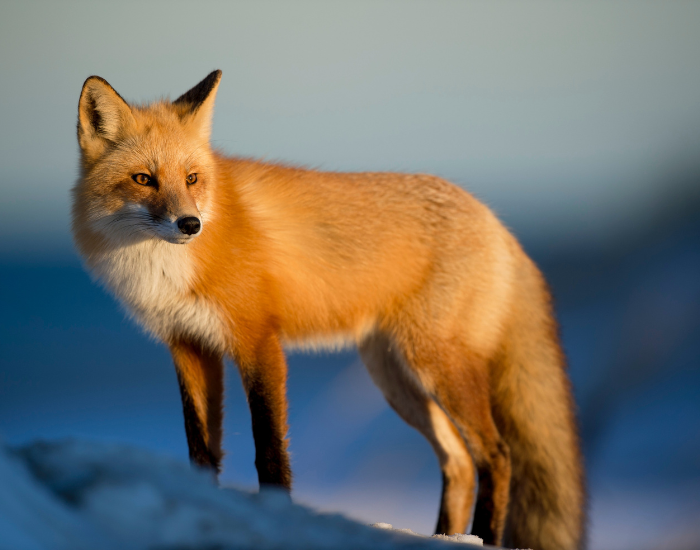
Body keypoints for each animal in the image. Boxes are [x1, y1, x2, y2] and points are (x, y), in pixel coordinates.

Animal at [72, 70, 586, 550]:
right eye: (144, 179)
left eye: (192, 178)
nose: (190, 224)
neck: (165, 269)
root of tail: (497, 223)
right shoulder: (188, 345)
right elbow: (201, 450)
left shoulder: (258, 341)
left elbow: (269, 450)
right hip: (395, 378)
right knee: (458, 461)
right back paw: (445, 537)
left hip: (437, 365)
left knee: (496, 456)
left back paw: (483, 537)